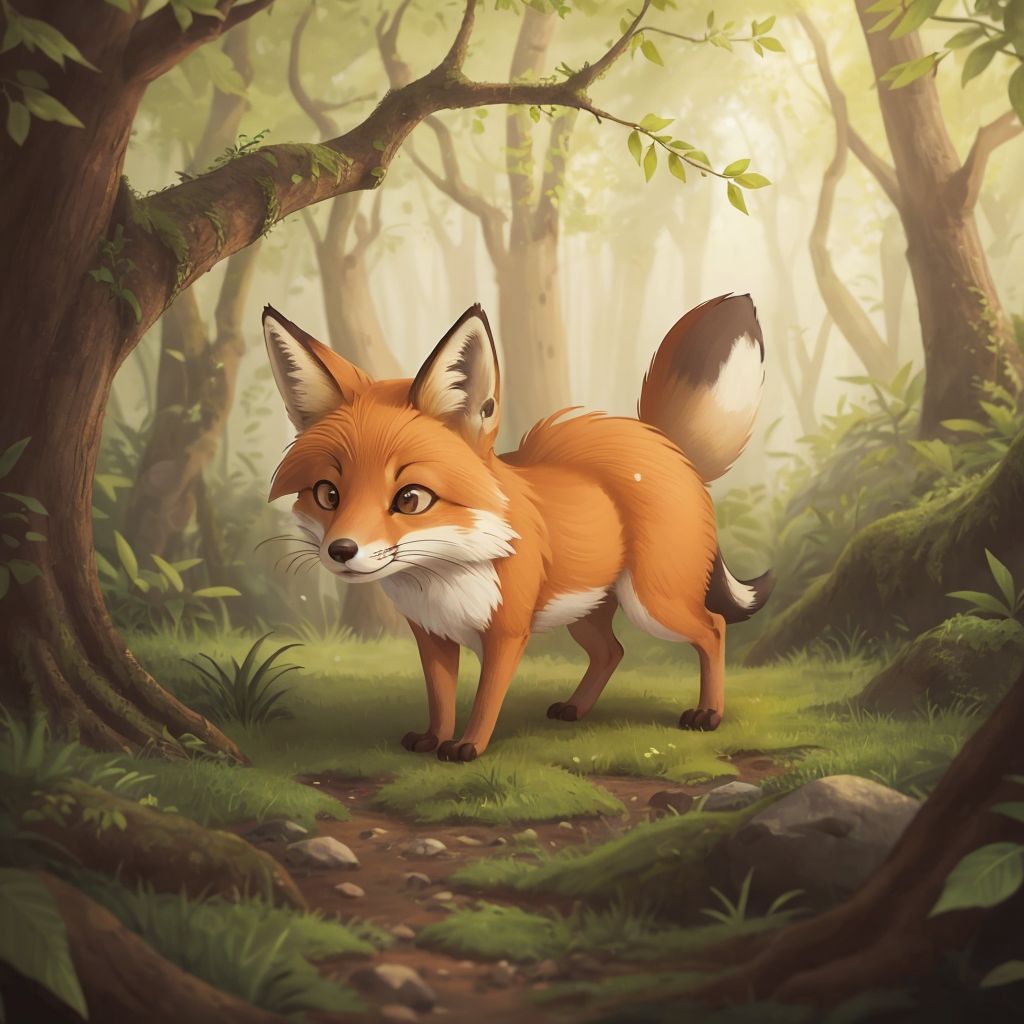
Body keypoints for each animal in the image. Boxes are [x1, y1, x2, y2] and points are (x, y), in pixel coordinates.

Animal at [263, 294, 773, 762]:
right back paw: (575, 708)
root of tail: (660, 440)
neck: (442, 573)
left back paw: (709, 713)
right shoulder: (432, 635)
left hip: (653, 603)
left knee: (714, 628)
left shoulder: (506, 633)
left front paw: (466, 746)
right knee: (611, 652)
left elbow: (486, 699)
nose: (341, 550)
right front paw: (432, 738)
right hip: (586, 608)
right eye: (328, 494)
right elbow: (440, 698)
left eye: (410, 499)